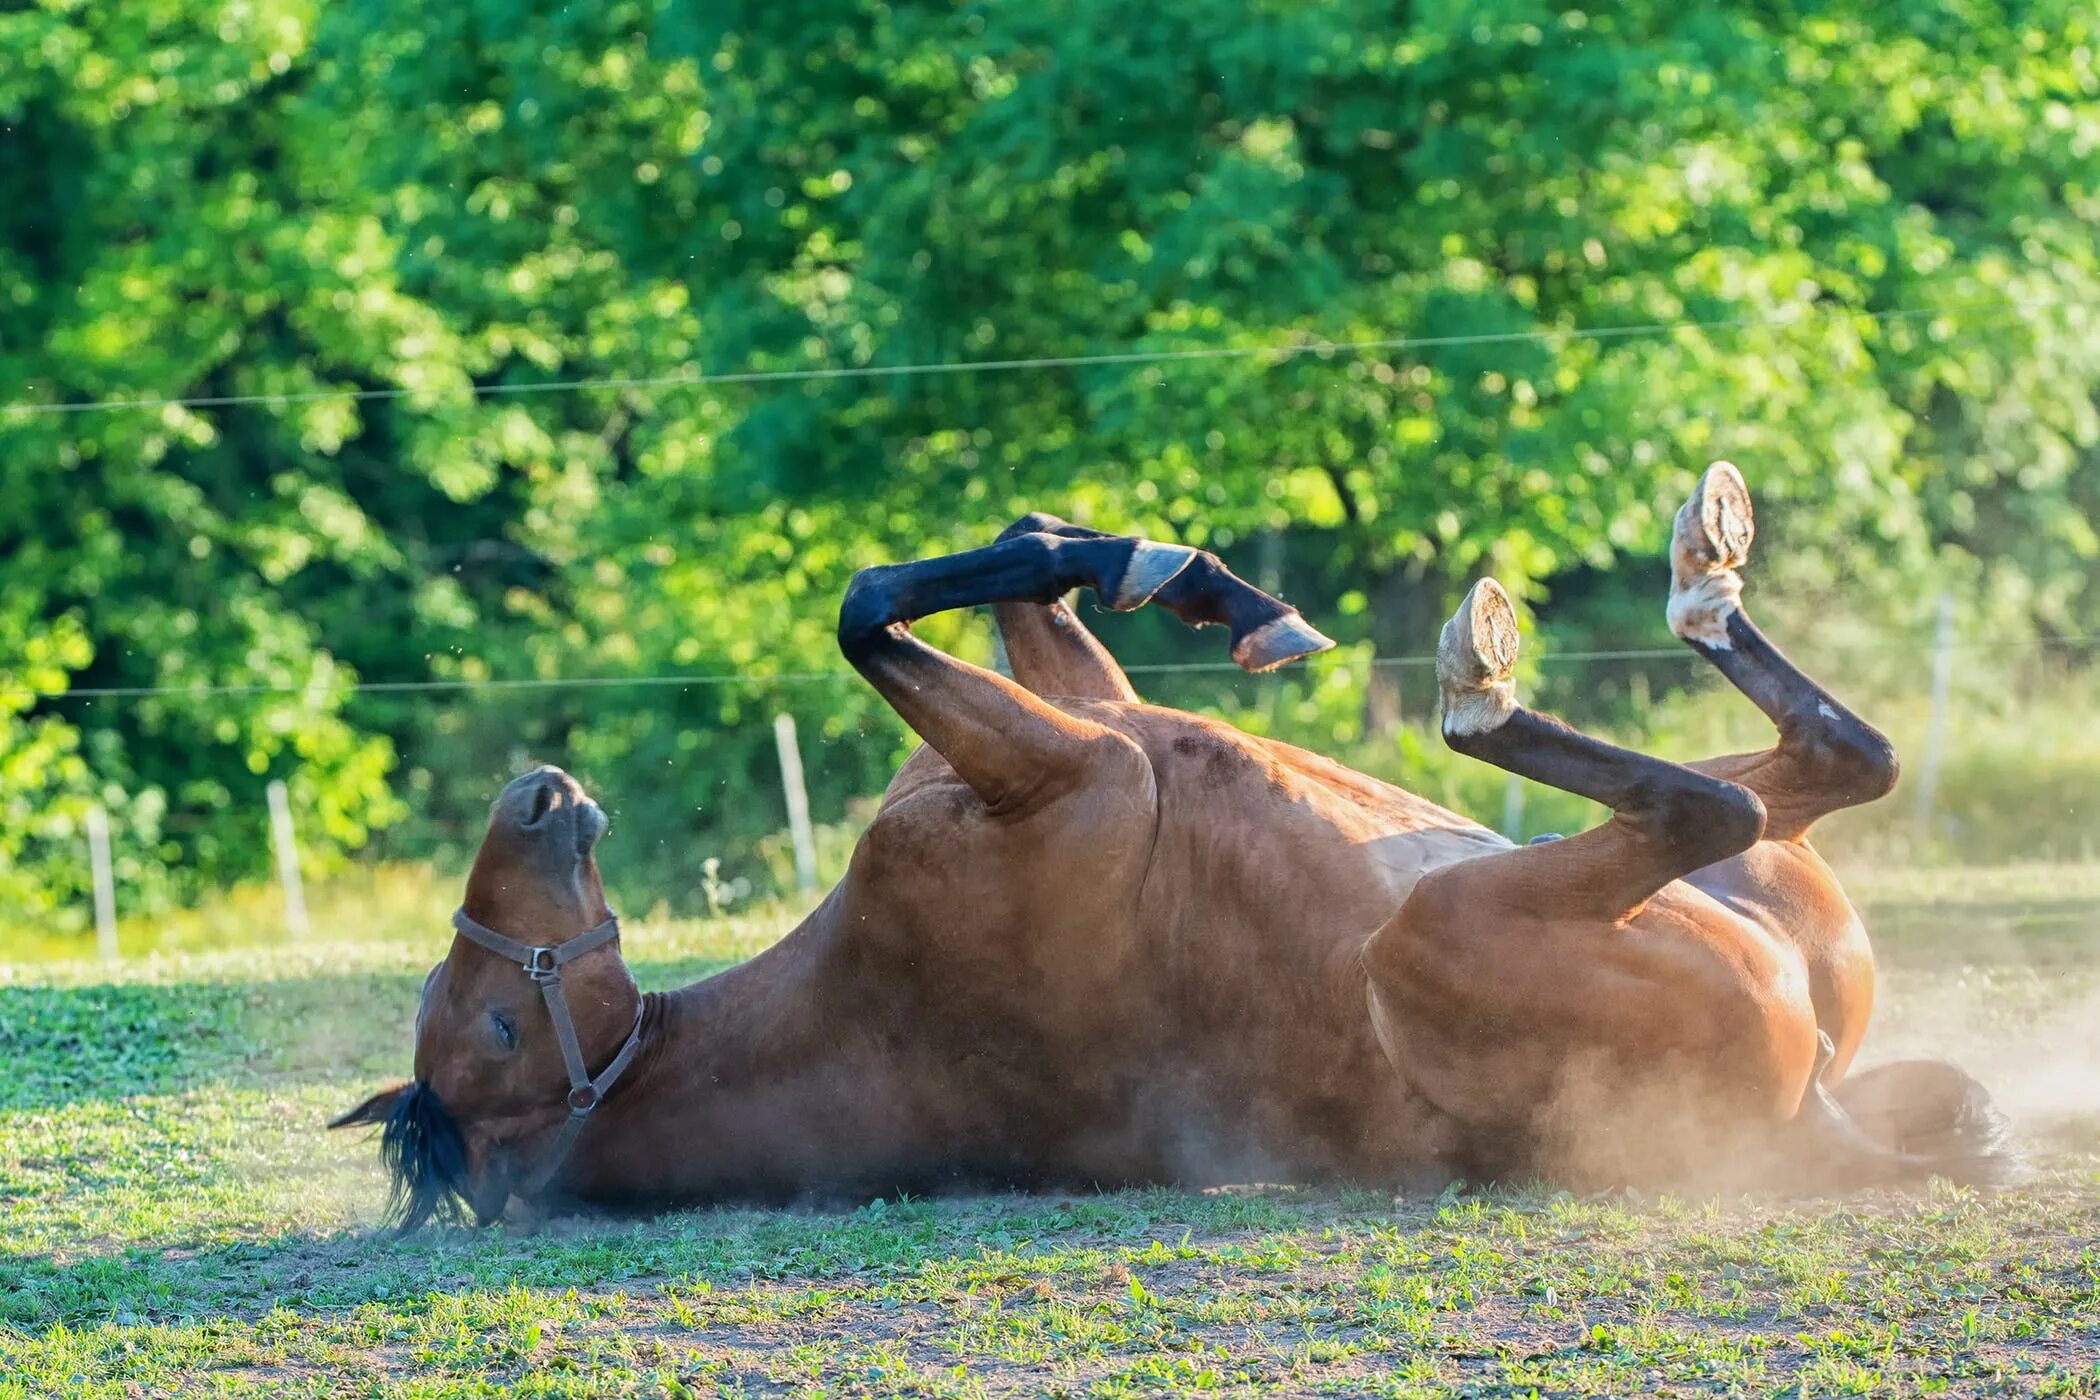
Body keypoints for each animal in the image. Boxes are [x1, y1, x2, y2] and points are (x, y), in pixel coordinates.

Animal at [336, 468, 2007, 1225]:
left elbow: (1020, 573)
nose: (537, 794)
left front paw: (1192, 580)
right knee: (1717, 801)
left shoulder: (1084, 722)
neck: (855, 1002)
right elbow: (870, 602)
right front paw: (1186, 576)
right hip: (1456, 928)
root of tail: (1809, 1122)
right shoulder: (1081, 777)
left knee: (1833, 764)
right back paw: (1492, 676)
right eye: (492, 1025)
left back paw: (1702, 567)